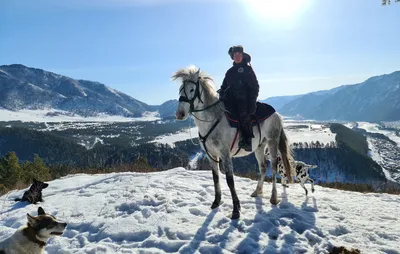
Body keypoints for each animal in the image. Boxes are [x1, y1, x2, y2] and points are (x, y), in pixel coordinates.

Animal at [173, 66, 294, 219]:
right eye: (180, 89)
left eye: (191, 89)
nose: (180, 114)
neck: (212, 120)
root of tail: (276, 114)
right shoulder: (211, 155)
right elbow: (216, 178)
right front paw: (216, 202)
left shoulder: (225, 155)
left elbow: (230, 181)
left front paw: (236, 209)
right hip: (259, 147)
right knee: (262, 168)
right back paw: (257, 191)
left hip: (272, 142)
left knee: (273, 168)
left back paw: (273, 198)